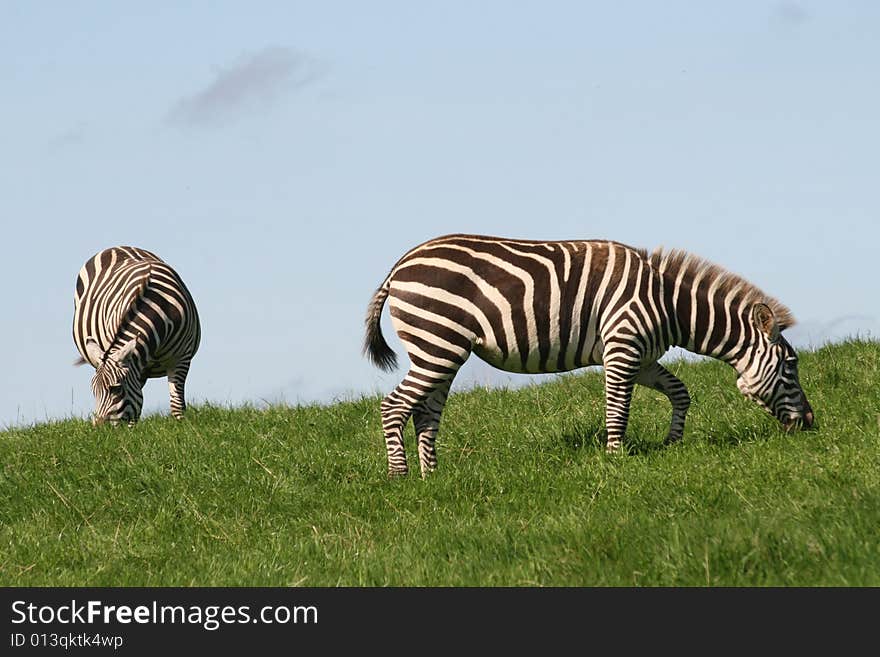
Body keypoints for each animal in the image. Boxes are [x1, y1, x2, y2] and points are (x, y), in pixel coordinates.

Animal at [72, 246, 201, 426]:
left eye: (117, 389)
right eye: (93, 391)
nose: (98, 429)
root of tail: (115, 247)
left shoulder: (181, 358)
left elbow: (177, 404)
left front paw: (182, 426)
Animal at [362, 233, 812, 474]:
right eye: (791, 366)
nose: (810, 423)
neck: (669, 304)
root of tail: (399, 266)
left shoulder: (642, 357)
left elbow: (680, 392)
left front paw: (671, 442)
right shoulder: (623, 346)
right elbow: (618, 409)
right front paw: (615, 460)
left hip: (442, 352)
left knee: (425, 412)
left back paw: (433, 478)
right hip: (438, 344)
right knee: (393, 406)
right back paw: (400, 477)